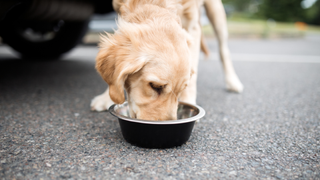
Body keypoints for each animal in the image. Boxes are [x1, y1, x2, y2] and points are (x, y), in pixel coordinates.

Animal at [89, 0, 242, 121]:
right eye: (155, 86)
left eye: (181, 90)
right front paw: (107, 97)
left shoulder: (193, 25)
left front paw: (188, 100)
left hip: (216, 12)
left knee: (224, 50)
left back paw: (233, 82)